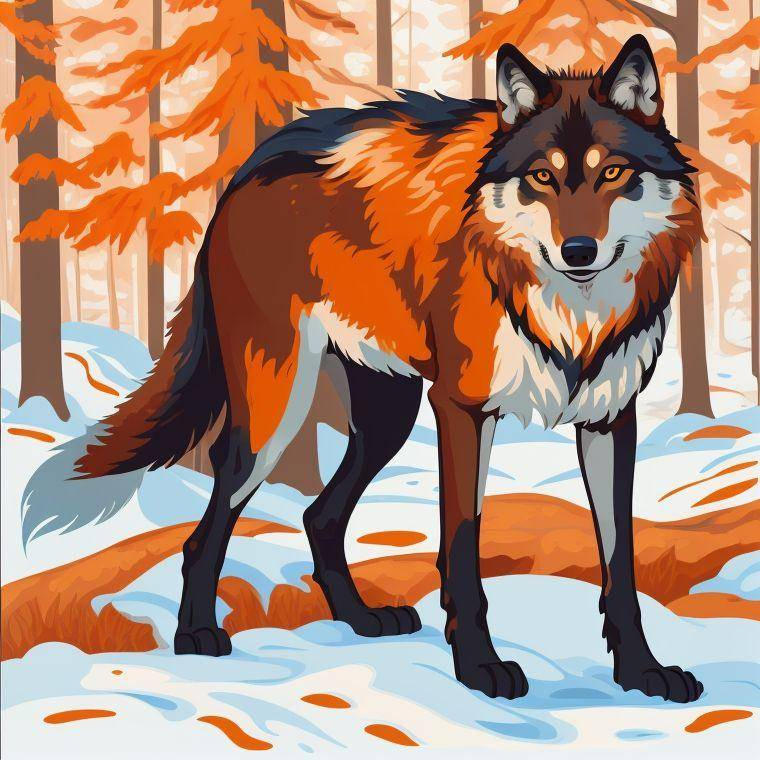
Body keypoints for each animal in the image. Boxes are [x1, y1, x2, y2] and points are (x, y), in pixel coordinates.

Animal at [23, 35, 704, 702]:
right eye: (543, 176)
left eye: (612, 172)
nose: (578, 251)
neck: (571, 317)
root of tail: (246, 171)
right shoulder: (462, 409)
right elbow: (463, 546)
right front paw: (479, 668)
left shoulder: (610, 420)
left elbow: (619, 563)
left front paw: (642, 673)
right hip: (275, 414)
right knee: (209, 526)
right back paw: (196, 636)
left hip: (386, 418)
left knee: (317, 516)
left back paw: (360, 619)